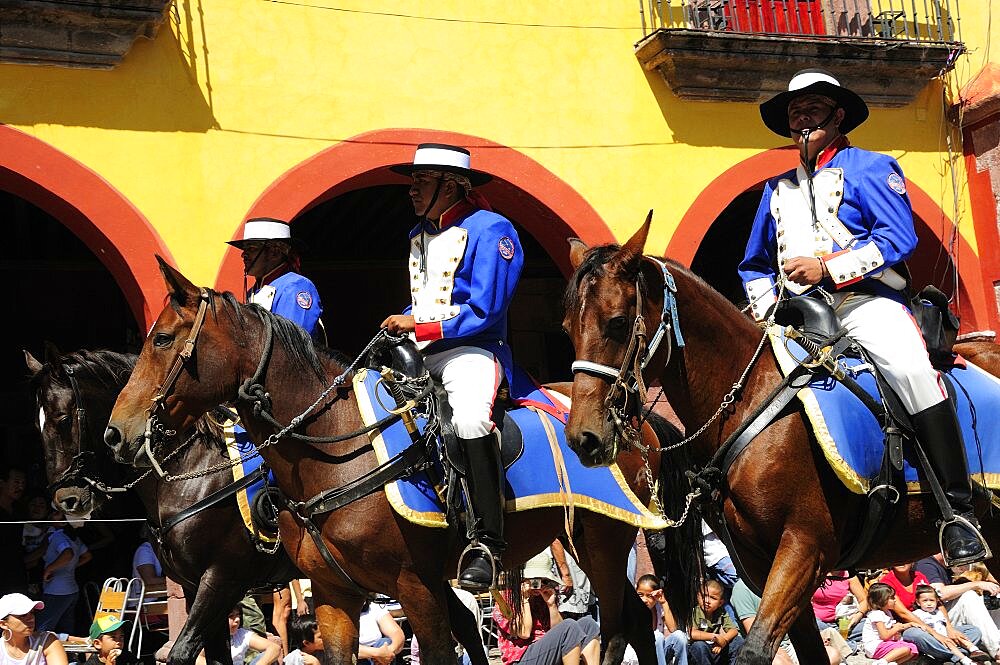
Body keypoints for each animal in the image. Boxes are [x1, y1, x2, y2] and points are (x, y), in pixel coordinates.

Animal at [25, 344, 298, 664]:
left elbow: (181, 652)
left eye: (63, 419)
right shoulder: (195, 586)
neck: (192, 469)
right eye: (37, 424)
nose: (65, 499)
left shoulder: (222, 581)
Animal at [101, 256, 696, 664]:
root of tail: (631, 416)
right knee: (636, 621)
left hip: (603, 539)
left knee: (620, 624)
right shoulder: (332, 594)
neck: (336, 449)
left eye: (163, 338)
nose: (117, 432)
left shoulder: (411, 585)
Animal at [560, 218, 1000, 664]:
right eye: (566, 329)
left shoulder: (804, 548)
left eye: (617, 322)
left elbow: (754, 650)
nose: (584, 438)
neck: (749, 399)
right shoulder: (763, 564)